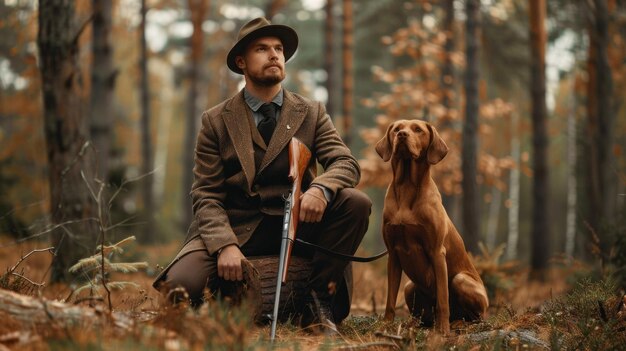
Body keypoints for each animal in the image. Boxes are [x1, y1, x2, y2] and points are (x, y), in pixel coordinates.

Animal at [376, 119, 488, 334]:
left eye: (418, 129)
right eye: (396, 129)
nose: (402, 135)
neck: (407, 186)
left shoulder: (437, 252)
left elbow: (443, 299)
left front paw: (442, 330)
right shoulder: (393, 254)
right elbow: (390, 300)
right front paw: (385, 326)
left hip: (461, 281)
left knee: (476, 318)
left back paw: (456, 324)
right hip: (410, 287)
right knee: (423, 315)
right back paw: (415, 324)